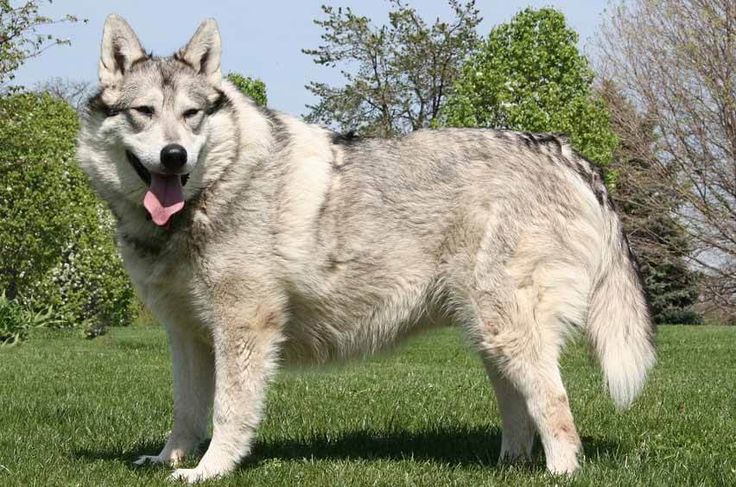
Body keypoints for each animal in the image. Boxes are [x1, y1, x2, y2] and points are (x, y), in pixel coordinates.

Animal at [76, 15, 656, 484]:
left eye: (192, 114)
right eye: (143, 112)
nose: (174, 156)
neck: (213, 193)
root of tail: (561, 151)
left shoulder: (243, 328)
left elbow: (226, 413)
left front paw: (209, 471)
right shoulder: (187, 337)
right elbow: (185, 412)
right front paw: (170, 459)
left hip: (509, 331)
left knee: (556, 408)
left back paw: (558, 474)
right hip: (491, 337)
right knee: (521, 412)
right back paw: (507, 468)